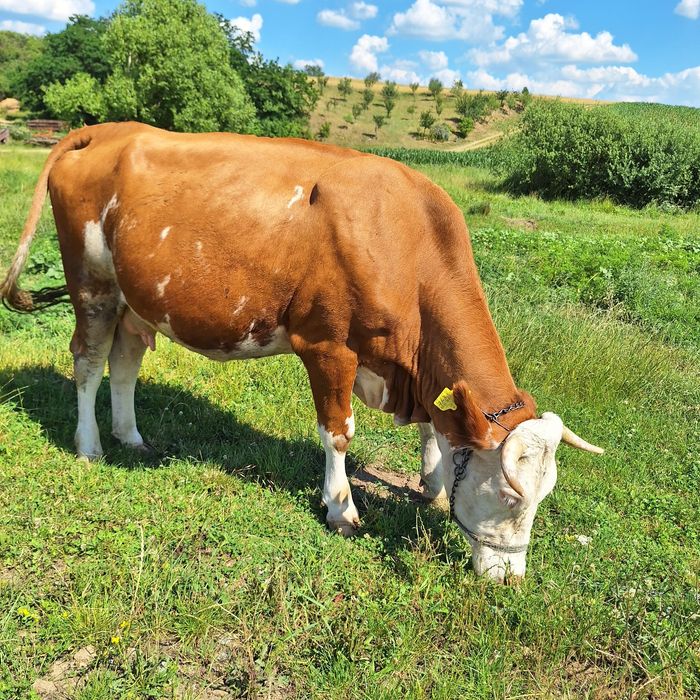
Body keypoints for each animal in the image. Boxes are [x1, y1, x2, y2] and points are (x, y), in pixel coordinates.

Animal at [1, 122, 603, 582]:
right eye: (509, 497)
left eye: (543, 498)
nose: (509, 578)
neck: (407, 238)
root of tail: (109, 129)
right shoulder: (328, 346)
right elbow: (338, 432)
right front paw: (341, 507)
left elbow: (435, 426)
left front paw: (431, 488)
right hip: (92, 284)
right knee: (87, 362)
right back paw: (90, 445)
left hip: (137, 300)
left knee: (124, 364)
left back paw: (131, 436)